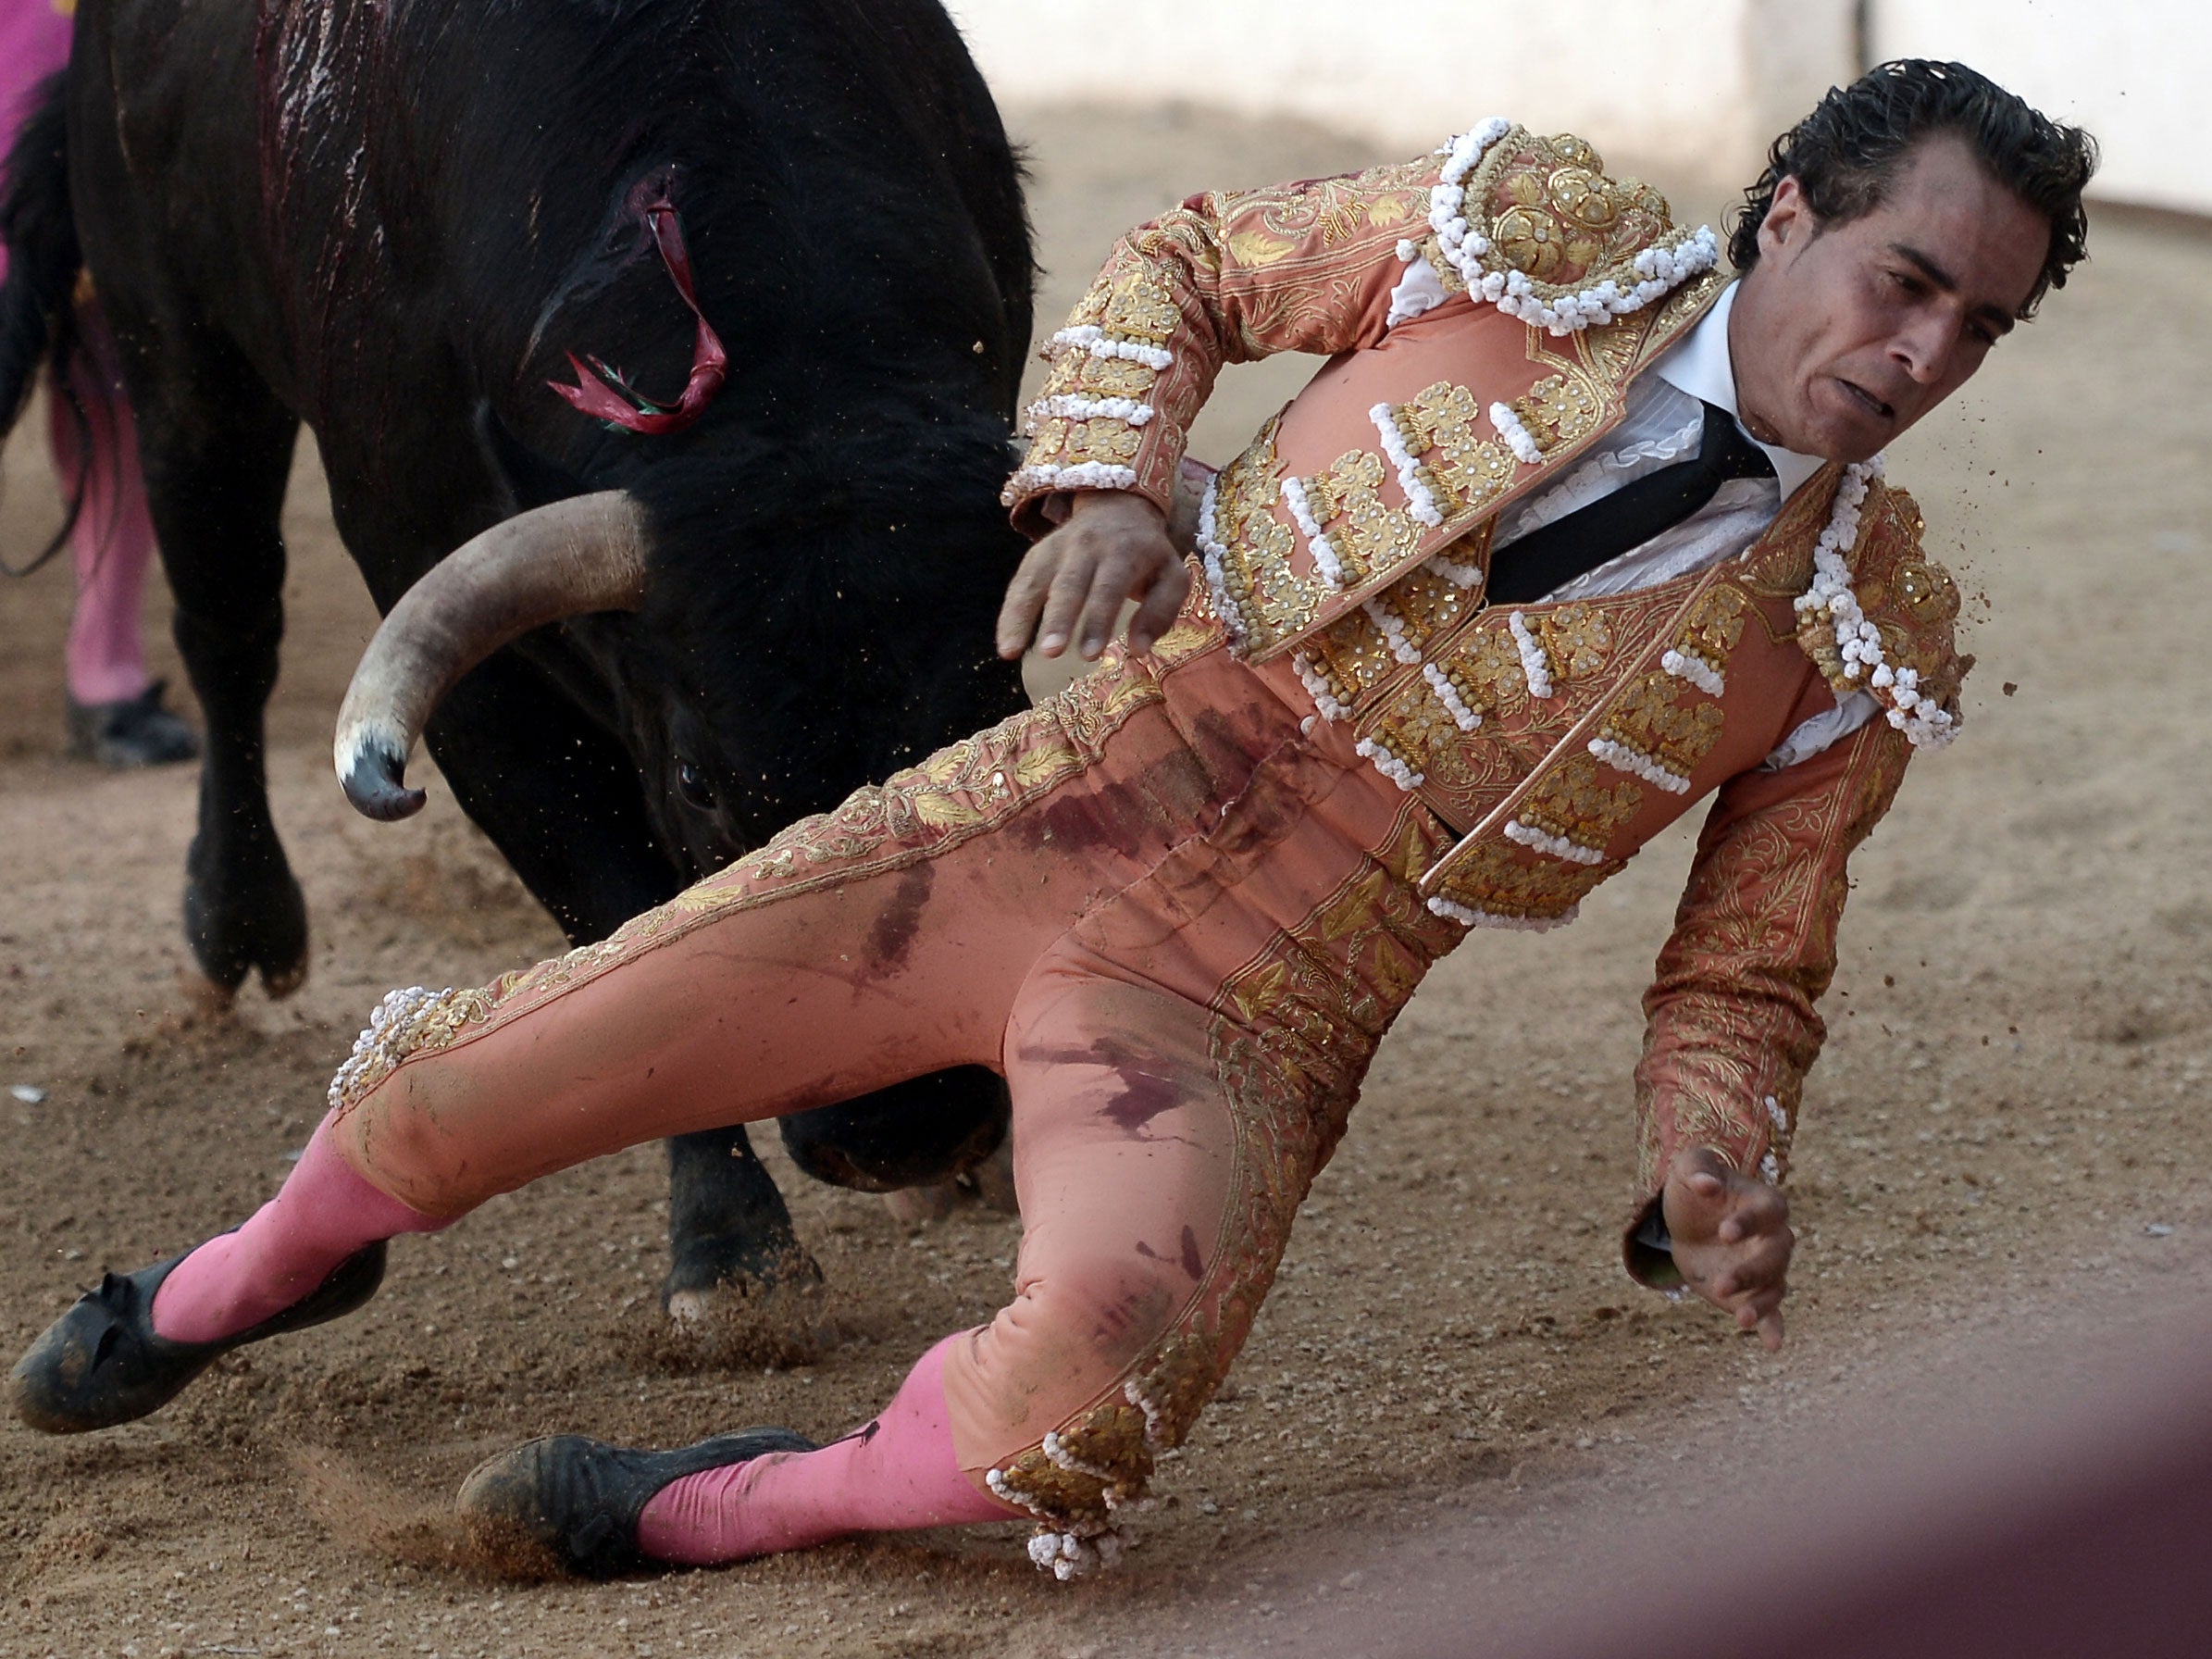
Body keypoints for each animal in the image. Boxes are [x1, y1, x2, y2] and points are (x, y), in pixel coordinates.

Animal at [0, 0, 1039, 1309]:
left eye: (992, 708)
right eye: (697, 780)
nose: (904, 1128)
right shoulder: (473, 673)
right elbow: (615, 916)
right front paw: (729, 1247)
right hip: (176, 351)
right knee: (226, 627)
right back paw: (239, 925)